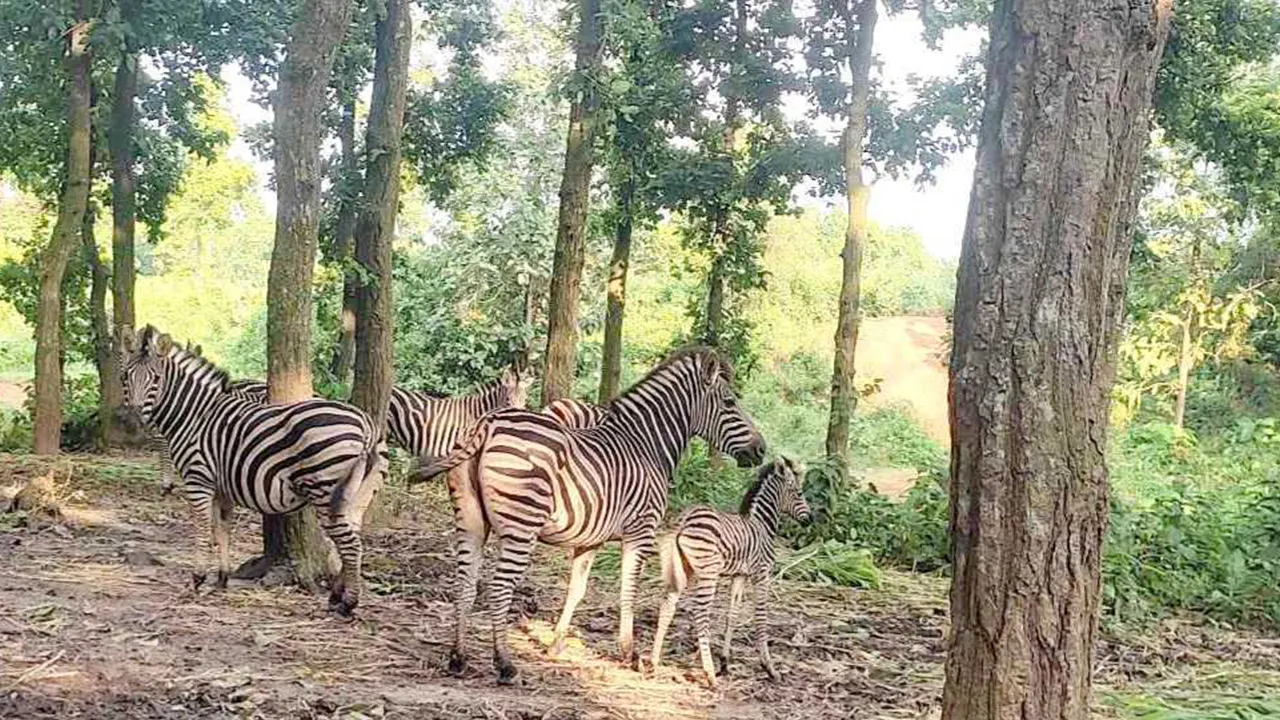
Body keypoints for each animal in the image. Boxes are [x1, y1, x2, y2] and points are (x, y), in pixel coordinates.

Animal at [120, 324, 389, 609]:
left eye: (156, 379)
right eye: (125, 376)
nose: (133, 420)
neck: (195, 415)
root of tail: (367, 424)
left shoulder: (198, 479)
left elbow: (203, 528)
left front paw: (197, 578)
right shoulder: (221, 486)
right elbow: (222, 530)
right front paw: (222, 579)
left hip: (326, 489)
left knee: (350, 543)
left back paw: (348, 603)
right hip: (358, 493)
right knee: (353, 535)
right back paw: (337, 594)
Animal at [407, 345, 757, 681]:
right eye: (729, 402)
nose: (761, 450)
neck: (646, 445)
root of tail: (489, 423)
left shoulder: (590, 539)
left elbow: (576, 590)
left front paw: (555, 644)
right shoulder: (640, 531)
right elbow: (628, 590)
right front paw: (629, 653)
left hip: (471, 521)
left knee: (465, 584)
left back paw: (458, 657)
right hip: (522, 525)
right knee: (498, 589)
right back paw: (505, 664)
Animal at [650, 453, 808, 681]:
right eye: (799, 492)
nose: (810, 519)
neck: (762, 525)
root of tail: (685, 518)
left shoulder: (739, 575)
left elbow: (732, 615)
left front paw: (725, 662)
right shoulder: (762, 574)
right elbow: (761, 617)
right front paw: (769, 667)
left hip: (684, 568)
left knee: (668, 604)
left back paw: (653, 662)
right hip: (709, 571)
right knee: (700, 613)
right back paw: (709, 674)